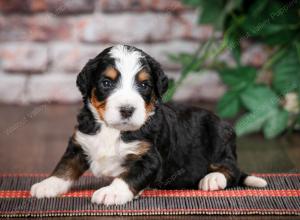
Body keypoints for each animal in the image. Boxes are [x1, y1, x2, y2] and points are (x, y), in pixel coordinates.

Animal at [30, 45, 268, 206]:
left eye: (144, 85)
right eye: (106, 83)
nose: (127, 109)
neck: (112, 130)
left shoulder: (150, 158)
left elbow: (128, 176)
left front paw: (111, 192)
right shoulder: (80, 144)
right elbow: (64, 167)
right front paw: (47, 185)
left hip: (219, 136)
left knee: (231, 169)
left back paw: (212, 179)